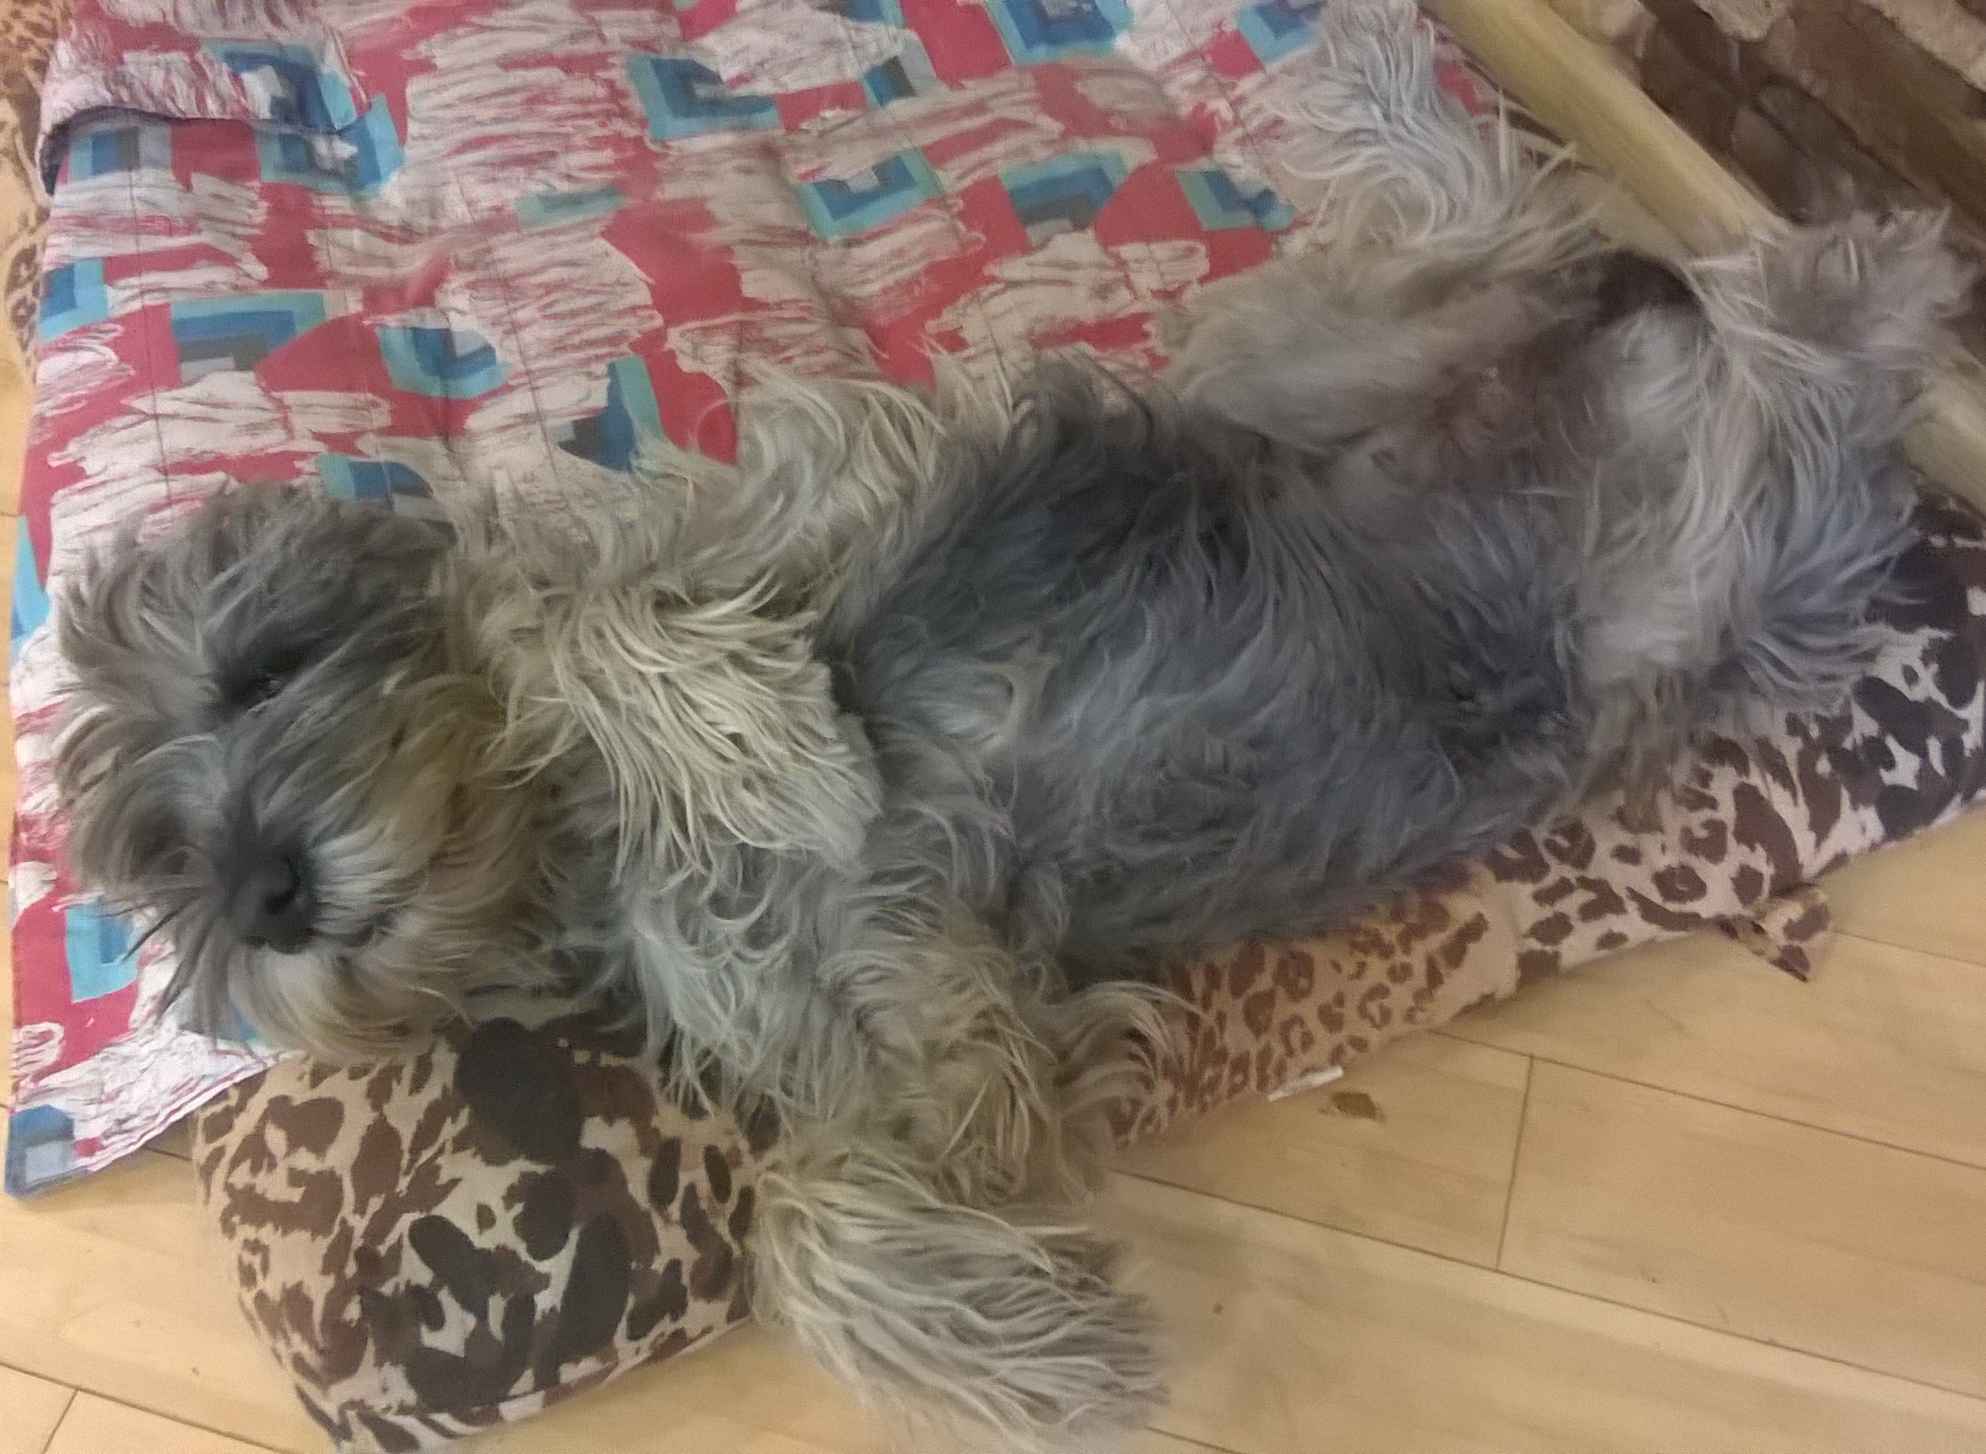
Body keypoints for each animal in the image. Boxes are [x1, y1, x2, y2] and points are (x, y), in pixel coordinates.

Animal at [50, 3, 1967, 1447]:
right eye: (169, 871)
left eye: (260, 673)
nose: (265, 888)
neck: (563, 850)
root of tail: (1661, 361)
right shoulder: (937, 1027)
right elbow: (812, 1220)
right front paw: (1031, 1351)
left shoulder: (838, 498)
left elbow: (579, 619)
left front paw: (766, 739)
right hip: (1379, 373)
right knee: (1544, 223)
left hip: (1679, 533)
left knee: (1630, 251)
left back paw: (1858, 255)